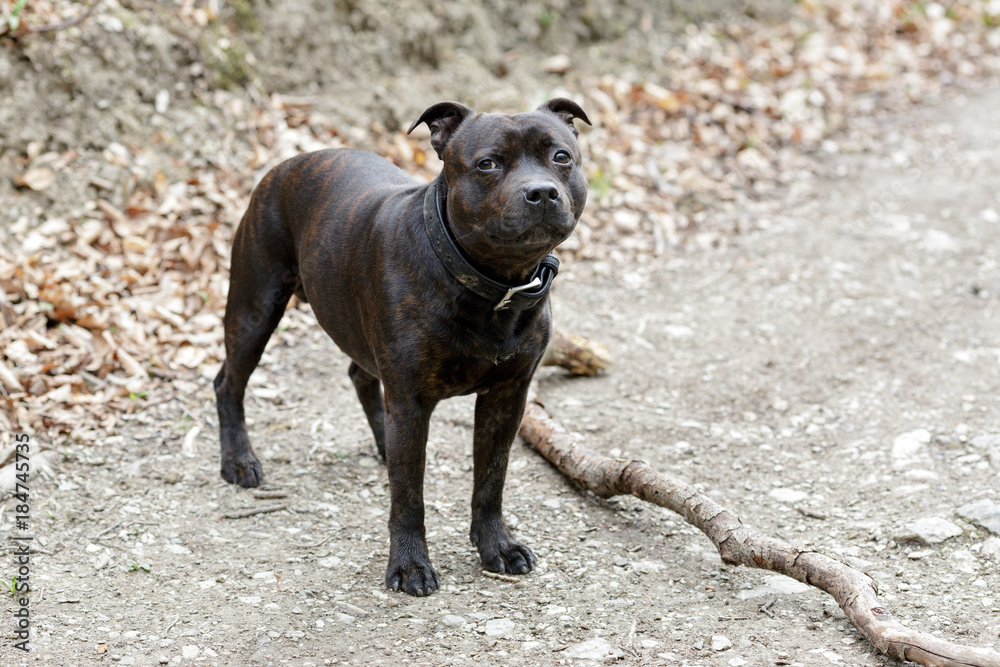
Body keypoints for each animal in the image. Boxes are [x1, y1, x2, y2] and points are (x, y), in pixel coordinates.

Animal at [211, 98, 584, 596]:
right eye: (487, 164)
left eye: (561, 157)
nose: (541, 192)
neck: (493, 285)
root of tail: (287, 164)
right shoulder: (410, 398)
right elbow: (409, 496)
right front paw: (409, 566)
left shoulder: (506, 398)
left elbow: (491, 479)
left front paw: (496, 547)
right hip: (255, 308)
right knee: (228, 382)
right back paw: (238, 461)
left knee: (360, 377)